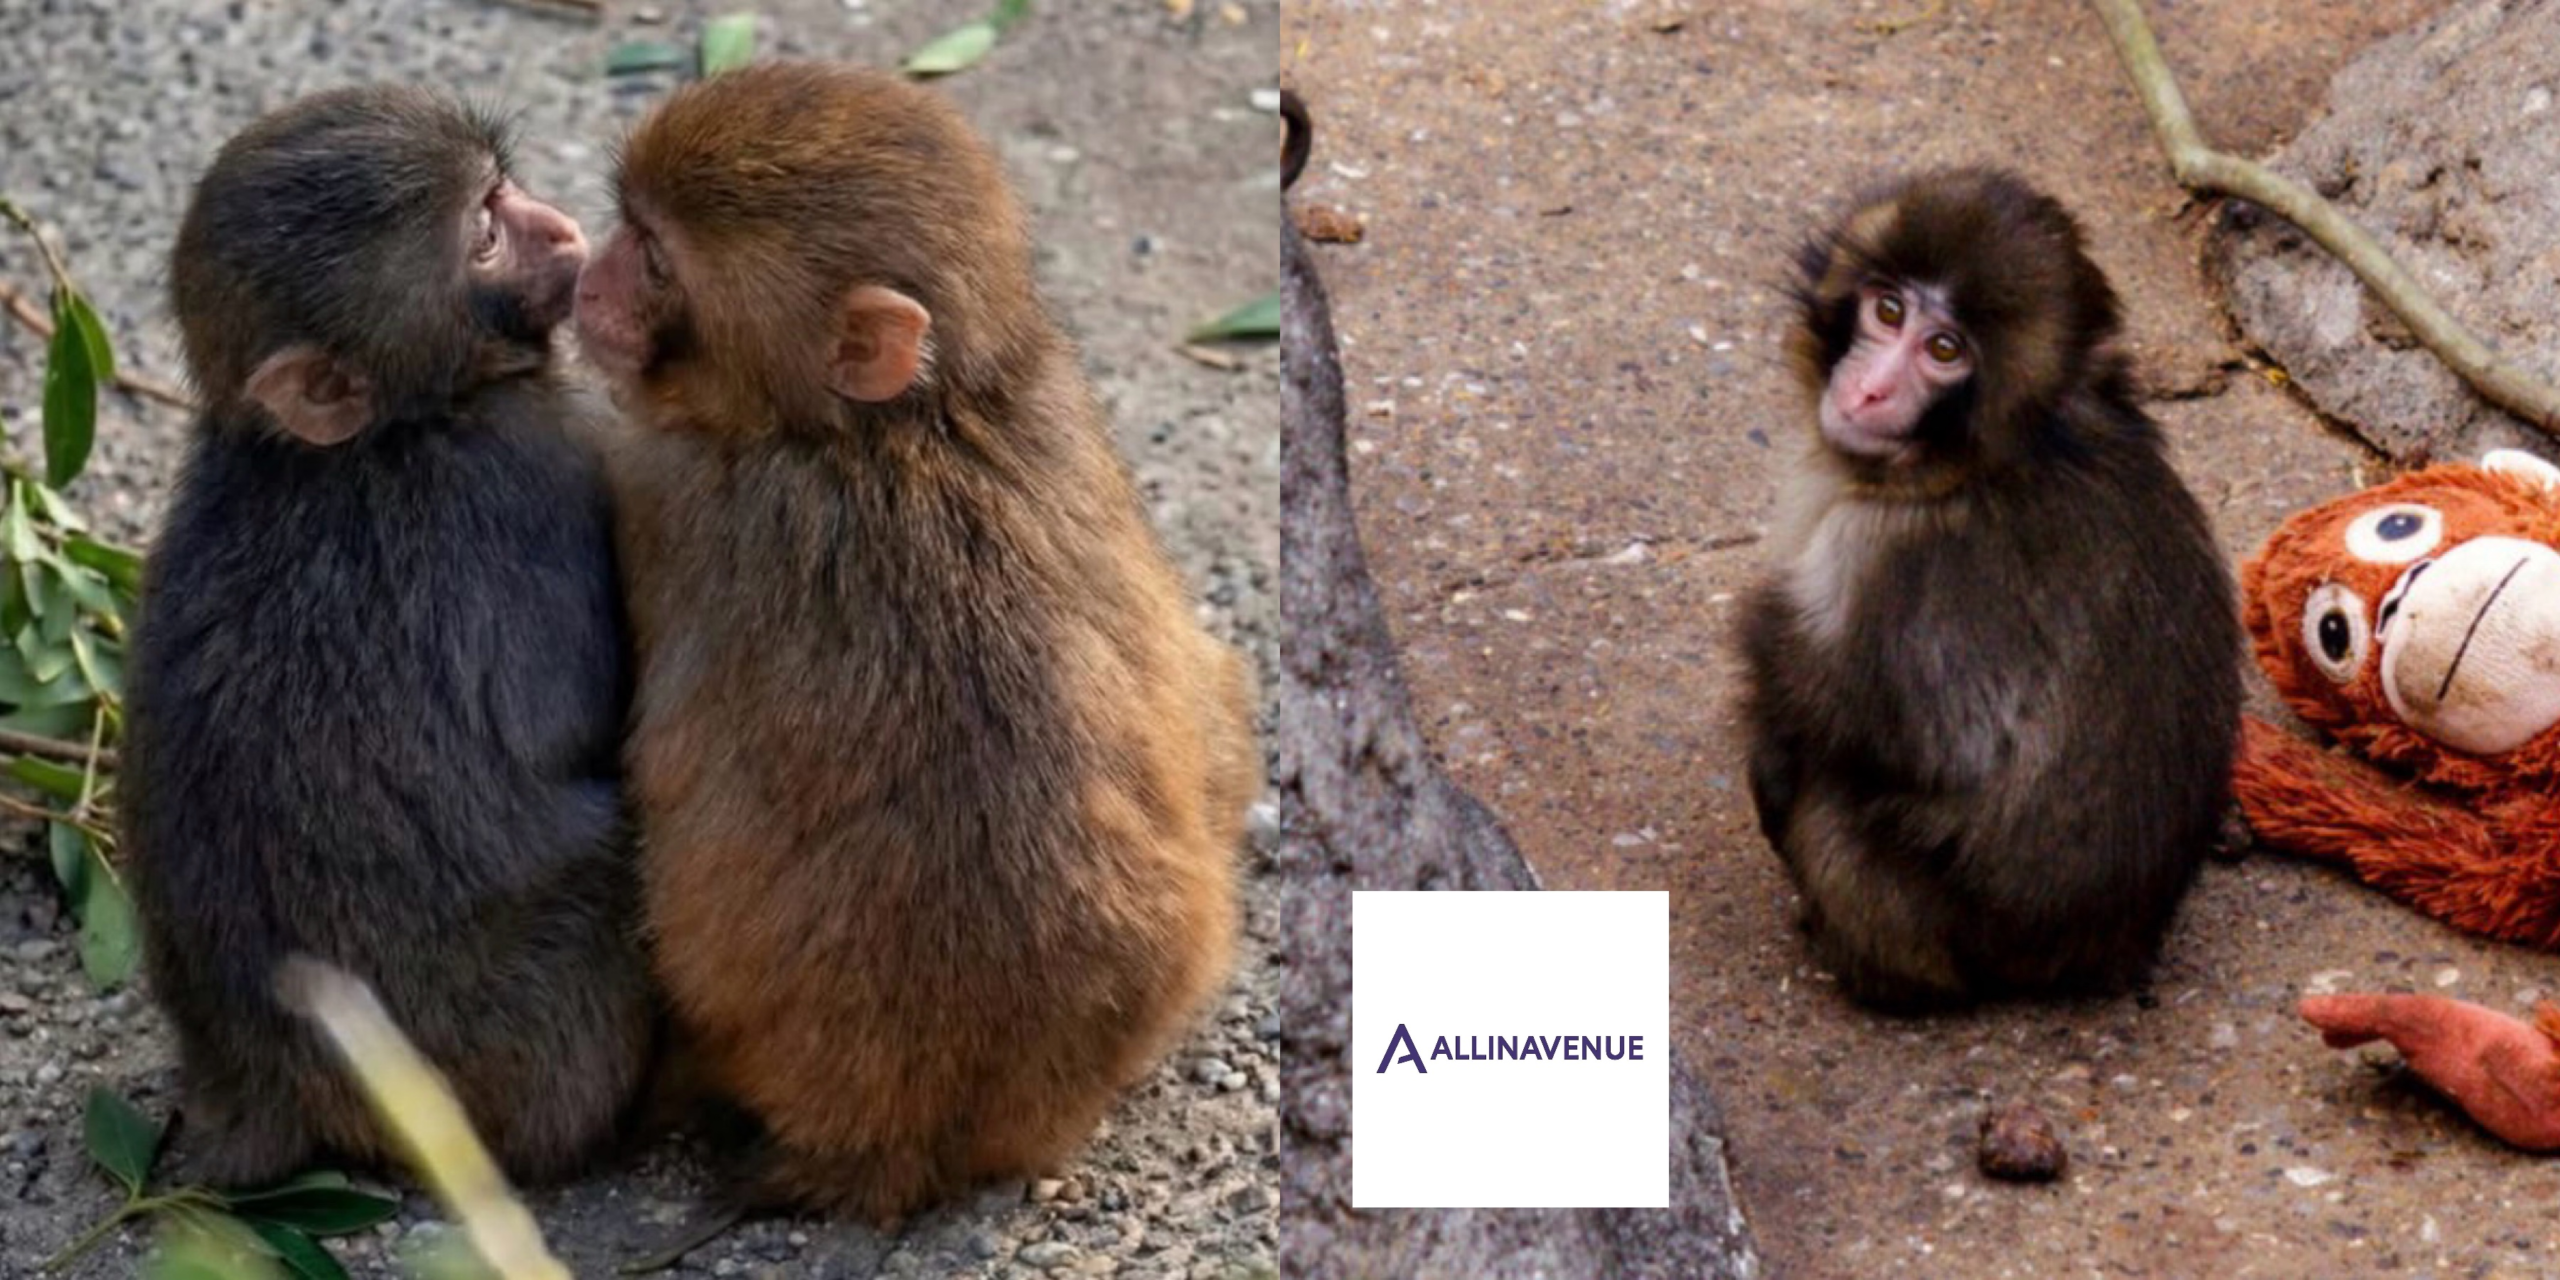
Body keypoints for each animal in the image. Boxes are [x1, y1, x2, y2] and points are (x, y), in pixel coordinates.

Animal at [121, 85, 654, 1186]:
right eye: (485, 233)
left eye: (502, 190)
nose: (560, 230)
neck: (388, 427)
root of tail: (261, 1080)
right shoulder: (529, 473)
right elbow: (585, 717)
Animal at [573, 62, 1257, 1222]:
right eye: (629, 228)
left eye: (655, 258)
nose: (587, 280)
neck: (901, 425)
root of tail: (908, 1137)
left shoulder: (657, 486)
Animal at [1737, 168, 2242, 1012]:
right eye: (1888, 310)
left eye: (1944, 350)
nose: (1869, 392)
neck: (1987, 461)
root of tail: (2110, 948)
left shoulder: (1886, 556)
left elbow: (1913, 742)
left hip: (1940, 933)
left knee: (1832, 810)